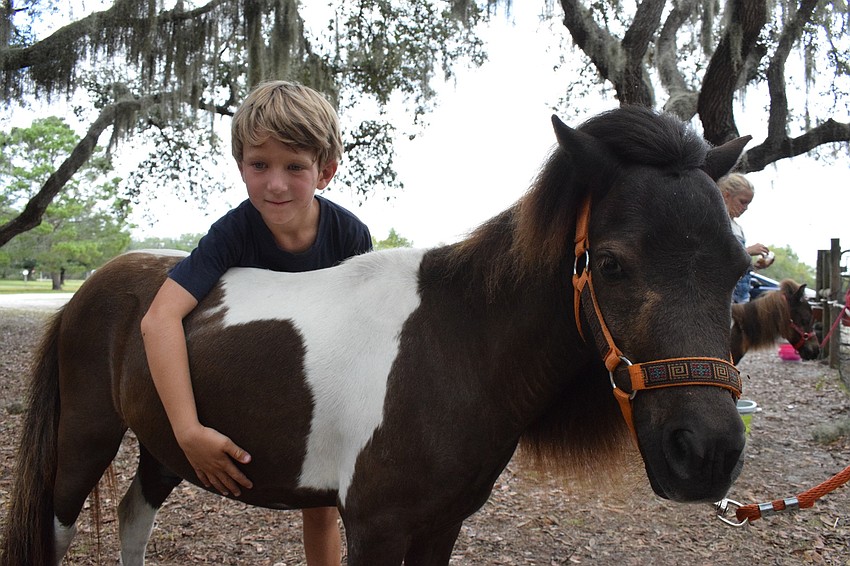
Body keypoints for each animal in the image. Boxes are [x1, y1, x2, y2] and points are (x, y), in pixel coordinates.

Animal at [1, 106, 752, 566]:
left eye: (739, 268)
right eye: (613, 262)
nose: (706, 453)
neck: (455, 348)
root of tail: (91, 289)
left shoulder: (440, 525)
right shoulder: (375, 526)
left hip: (166, 444)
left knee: (134, 514)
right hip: (85, 440)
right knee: (58, 524)